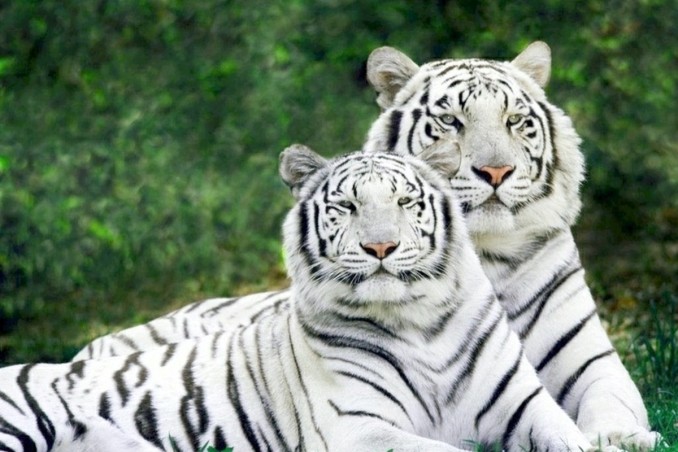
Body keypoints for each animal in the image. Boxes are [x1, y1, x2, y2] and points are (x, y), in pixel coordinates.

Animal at [0, 146, 615, 452]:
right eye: (346, 206)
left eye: (406, 201)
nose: (380, 246)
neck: (419, 321)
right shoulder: (357, 428)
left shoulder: (527, 406)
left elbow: (573, 441)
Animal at [73, 42, 661, 450]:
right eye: (451, 121)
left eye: (516, 121)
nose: (495, 171)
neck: (486, 254)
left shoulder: (592, 362)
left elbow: (613, 405)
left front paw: (630, 439)